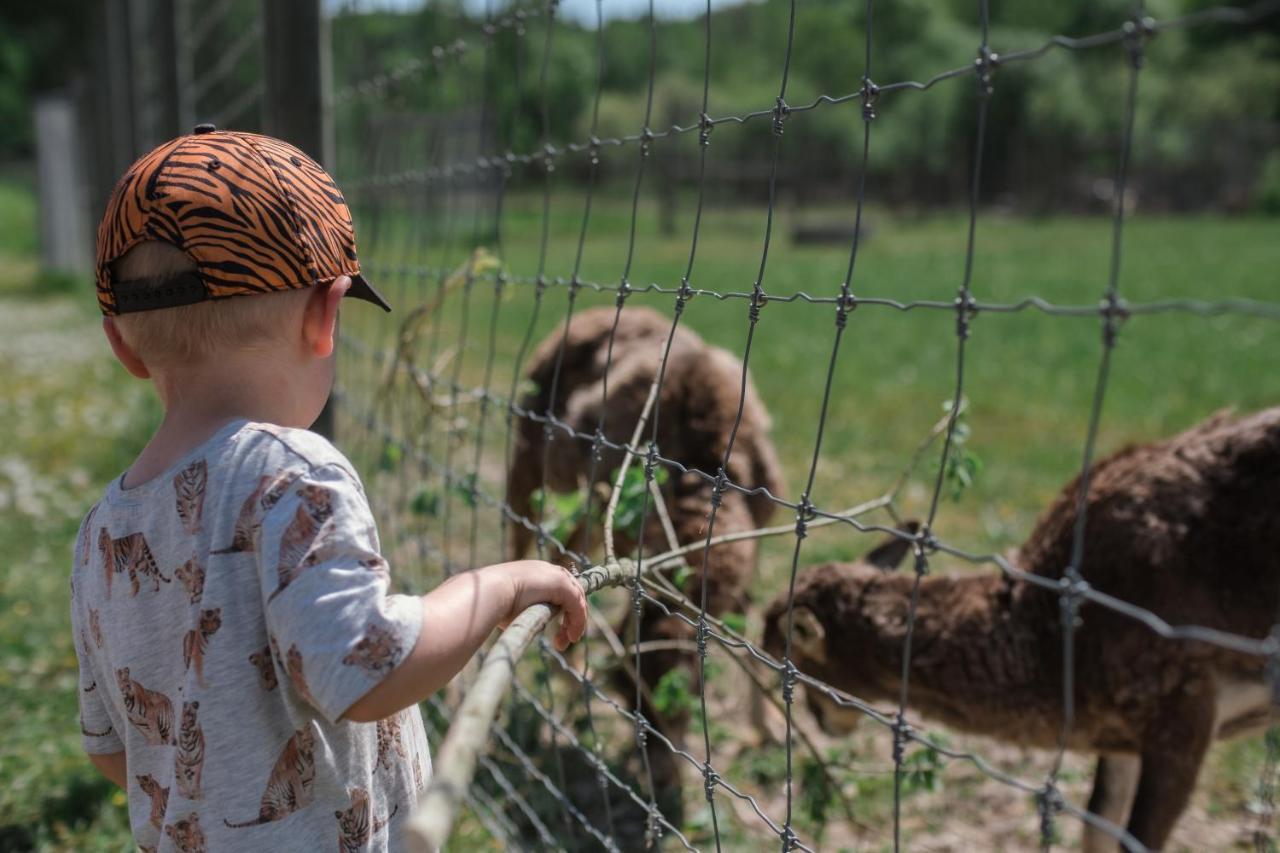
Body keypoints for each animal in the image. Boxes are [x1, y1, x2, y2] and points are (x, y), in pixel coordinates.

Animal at [504, 303, 783, 768]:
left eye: (688, 704)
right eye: (633, 699)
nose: (664, 774)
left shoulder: (757, 535)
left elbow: (752, 621)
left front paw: (770, 729)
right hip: (530, 453)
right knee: (518, 533)